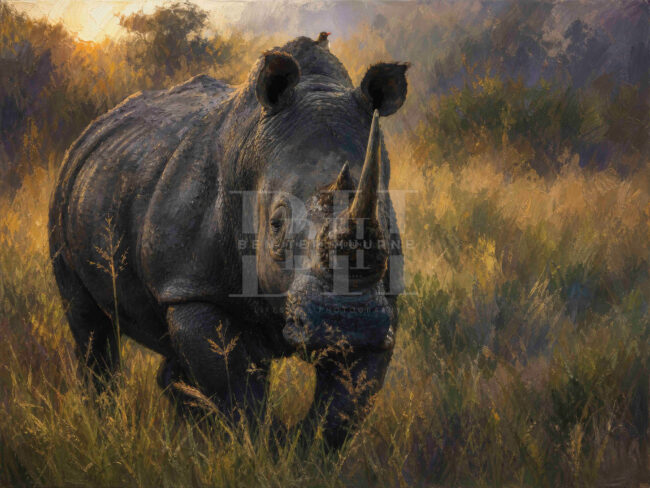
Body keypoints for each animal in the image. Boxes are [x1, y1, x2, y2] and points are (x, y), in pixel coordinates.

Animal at [49, 36, 408, 448]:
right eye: (276, 225)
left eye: (384, 223)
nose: (346, 322)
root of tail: (94, 129)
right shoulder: (193, 288)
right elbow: (238, 395)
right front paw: (260, 450)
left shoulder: (384, 309)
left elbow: (343, 407)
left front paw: (300, 450)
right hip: (67, 195)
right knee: (88, 324)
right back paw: (107, 427)